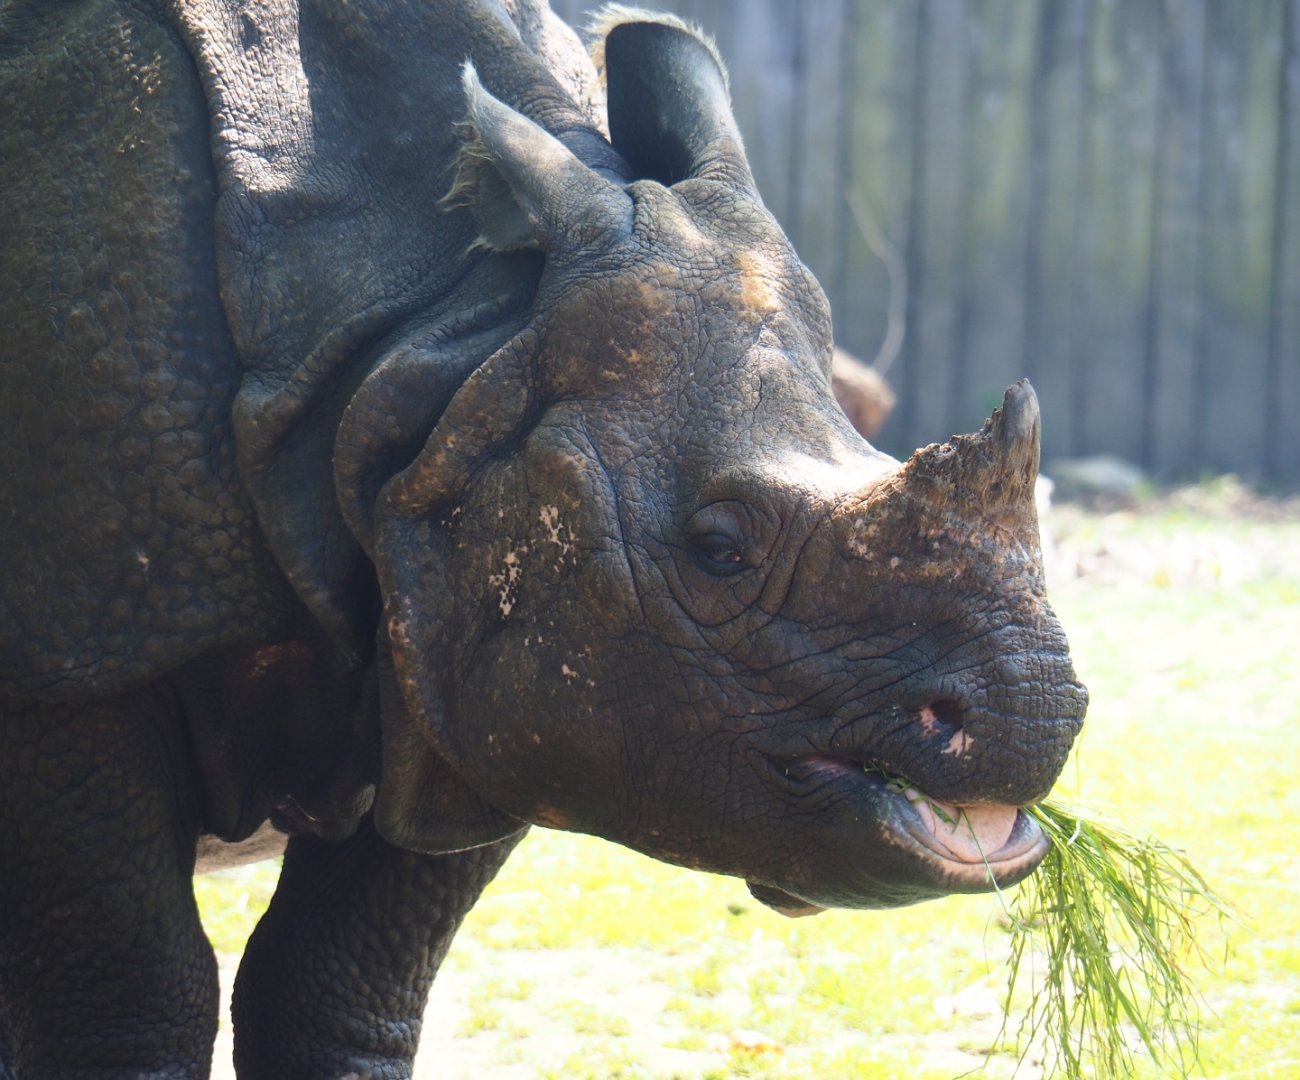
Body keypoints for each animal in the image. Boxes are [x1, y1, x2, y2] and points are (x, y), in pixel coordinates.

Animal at [0, 0, 1087, 1075]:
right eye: (720, 551)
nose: (1032, 721)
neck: (445, 325)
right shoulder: (74, 655)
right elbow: (133, 997)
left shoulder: (456, 634)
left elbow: (338, 984)